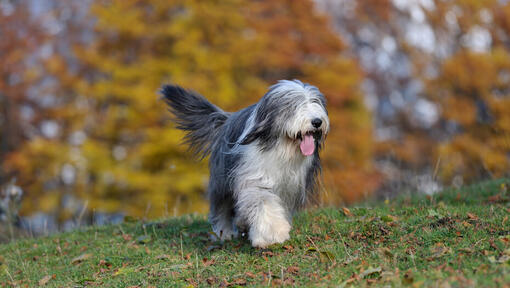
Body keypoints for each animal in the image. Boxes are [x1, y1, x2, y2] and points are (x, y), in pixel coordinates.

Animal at [163, 79, 330, 248]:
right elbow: (263, 202)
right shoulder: (254, 176)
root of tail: (226, 119)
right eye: (293, 105)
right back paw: (224, 232)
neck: (281, 149)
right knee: (222, 206)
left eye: (316, 102)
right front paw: (272, 233)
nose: (317, 121)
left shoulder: (290, 187)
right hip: (222, 179)